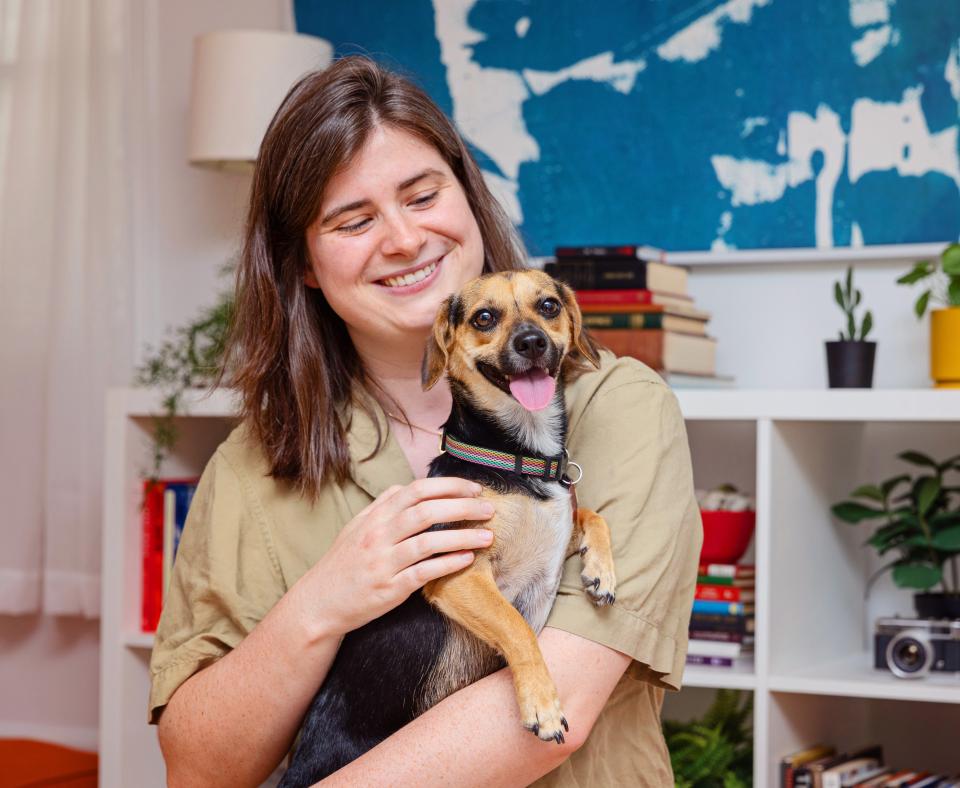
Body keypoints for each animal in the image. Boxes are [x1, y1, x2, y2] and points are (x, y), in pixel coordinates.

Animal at [282, 270, 620, 788]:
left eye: (548, 306)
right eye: (484, 318)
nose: (532, 342)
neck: (519, 455)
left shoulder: (556, 532)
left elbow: (590, 515)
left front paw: (601, 571)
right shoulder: (460, 575)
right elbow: (517, 626)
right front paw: (542, 705)